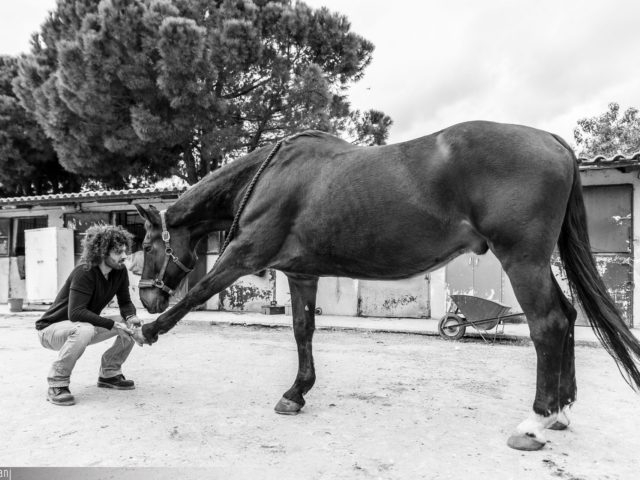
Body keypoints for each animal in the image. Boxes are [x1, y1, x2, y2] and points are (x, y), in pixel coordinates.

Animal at [131, 120, 640, 450]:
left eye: (149, 245)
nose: (148, 296)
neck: (271, 177)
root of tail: (553, 142)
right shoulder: (300, 273)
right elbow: (302, 330)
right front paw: (296, 393)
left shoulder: (244, 255)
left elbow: (197, 295)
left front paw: (147, 330)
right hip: (534, 261)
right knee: (567, 317)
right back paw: (562, 411)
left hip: (522, 259)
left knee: (549, 324)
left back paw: (535, 422)